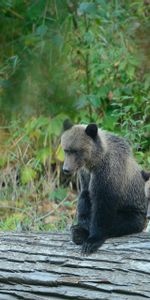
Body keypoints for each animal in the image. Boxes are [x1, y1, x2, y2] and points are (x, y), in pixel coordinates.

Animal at [61, 120, 148, 254]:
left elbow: (103, 206)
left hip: (134, 212)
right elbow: (85, 198)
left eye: (76, 151)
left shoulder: (108, 173)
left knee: (121, 222)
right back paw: (77, 232)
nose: (66, 169)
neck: (94, 162)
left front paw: (92, 241)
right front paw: (81, 227)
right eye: (66, 150)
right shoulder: (85, 175)